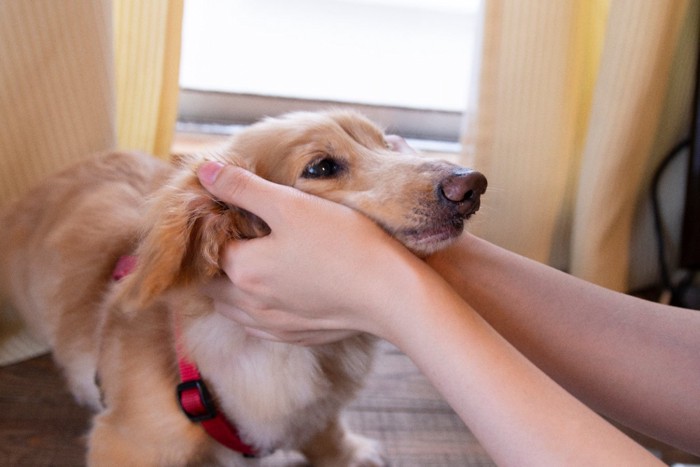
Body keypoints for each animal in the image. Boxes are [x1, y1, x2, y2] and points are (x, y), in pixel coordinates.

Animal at [1, 109, 486, 464]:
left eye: (386, 145)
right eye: (321, 166)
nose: (471, 185)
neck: (283, 352)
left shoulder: (318, 412)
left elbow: (326, 433)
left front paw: (348, 454)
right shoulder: (129, 442)